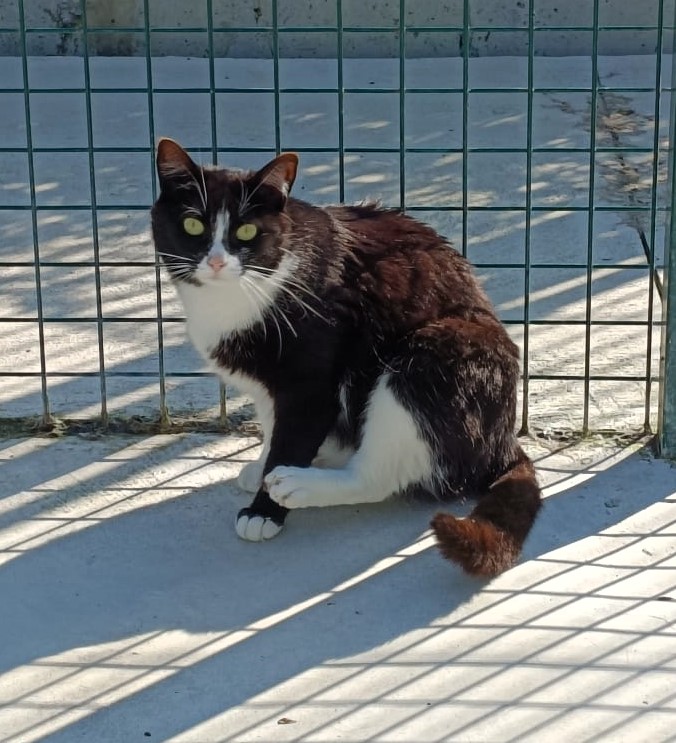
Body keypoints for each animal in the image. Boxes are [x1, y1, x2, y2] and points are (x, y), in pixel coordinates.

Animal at [151, 137, 542, 577]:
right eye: (193, 225)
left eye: (247, 230)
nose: (217, 262)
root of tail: (503, 441)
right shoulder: (271, 389)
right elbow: (273, 427)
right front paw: (264, 466)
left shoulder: (312, 382)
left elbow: (292, 437)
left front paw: (264, 509)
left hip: (435, 353)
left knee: (378, 476)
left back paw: (299, 483)